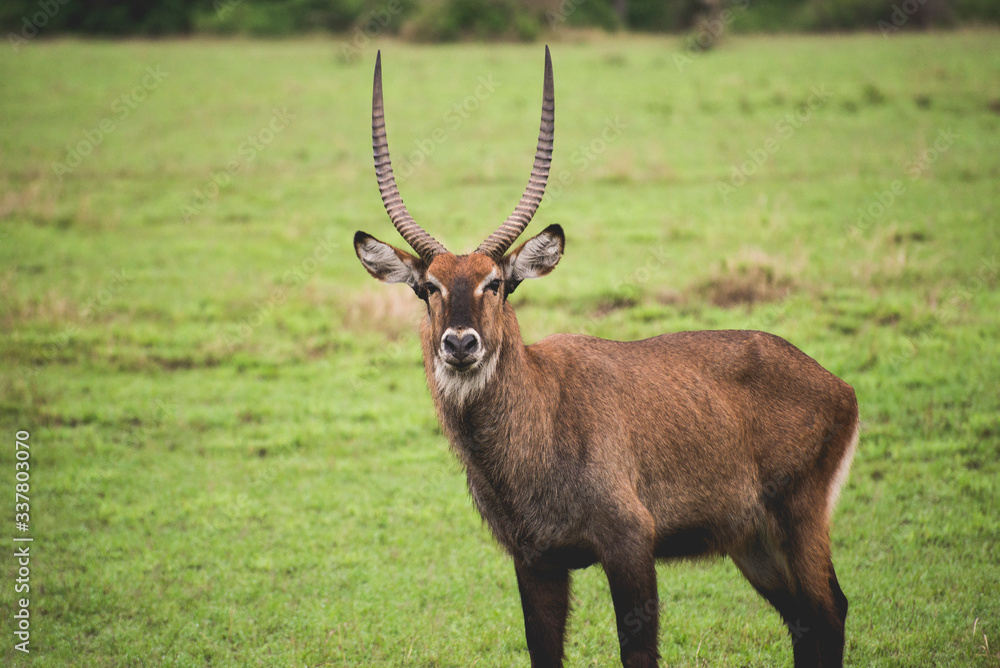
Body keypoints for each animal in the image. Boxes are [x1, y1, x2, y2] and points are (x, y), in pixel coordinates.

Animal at [353, 47, 859, 668]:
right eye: (428, 288)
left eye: (496, 282)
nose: (460, 344)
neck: (541, 416)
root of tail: (836, 385)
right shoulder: (535, 561)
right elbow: (543, 653)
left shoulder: (630, 545)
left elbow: (637, 652)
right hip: (753, 541)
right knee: (806, 622)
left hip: (798, 519)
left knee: (829, 611)